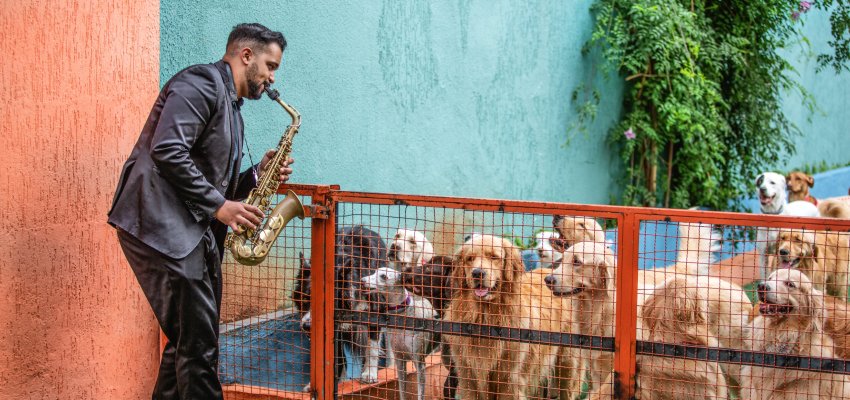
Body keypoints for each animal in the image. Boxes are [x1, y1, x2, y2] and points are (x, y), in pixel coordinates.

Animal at [360, 268, 434, 400]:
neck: (402, 314)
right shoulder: (400, 361)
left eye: (383, 276)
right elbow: (402, 391)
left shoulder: (419, 363)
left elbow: (420, 394)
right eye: (374, 272)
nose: (362, 280)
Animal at [444, 234, 576, 400]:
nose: (477, 273)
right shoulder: (468, 377)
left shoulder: (509, 381)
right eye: (470, 258)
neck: (486, 316)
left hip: (565, 364)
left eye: (494, 257)